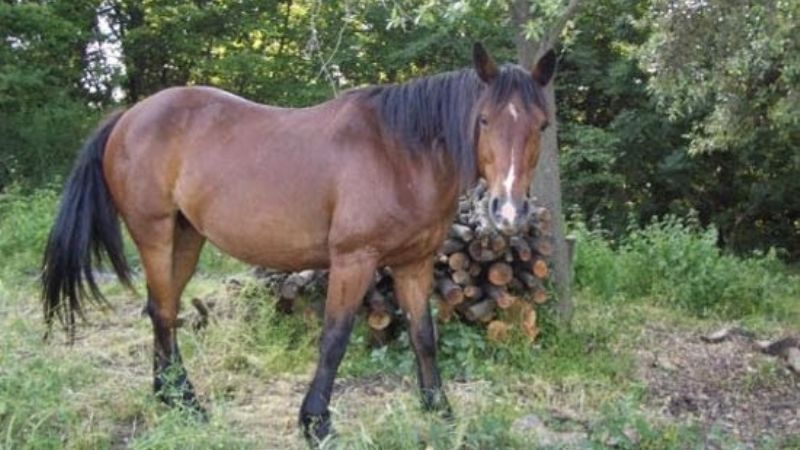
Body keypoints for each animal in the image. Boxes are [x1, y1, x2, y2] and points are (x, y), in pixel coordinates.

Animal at [41, 42, 555, 443]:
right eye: (484, 120)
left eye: (542, 126)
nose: (509, 212)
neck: (401, 152)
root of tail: (129, 116)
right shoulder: (353, 260)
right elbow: (334, 338)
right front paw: (315, 423)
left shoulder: (416, 263)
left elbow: (423, 336)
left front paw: (440, 410)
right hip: (155, 233)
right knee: (164, 311)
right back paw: (185, 400)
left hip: (186, 238)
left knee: (161, 309)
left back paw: (175, 397)